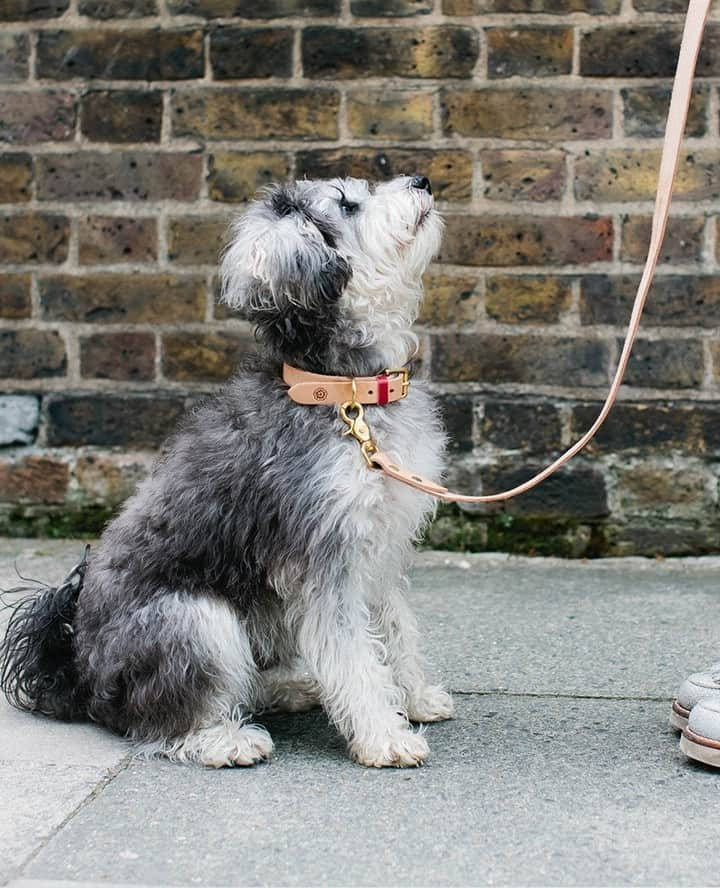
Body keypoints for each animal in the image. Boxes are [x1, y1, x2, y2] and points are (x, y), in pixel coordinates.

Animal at [0, 175, 452, 772]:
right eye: (348, 203)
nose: (422, 180)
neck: (343, 392)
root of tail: (78, 673)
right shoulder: (323, 559)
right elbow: (353, 653)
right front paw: (384, 736)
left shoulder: (378, 552)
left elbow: (396, 631)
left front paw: (415, 698)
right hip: (194, 619)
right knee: (161, 721)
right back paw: (225, 739)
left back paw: (288, 689)